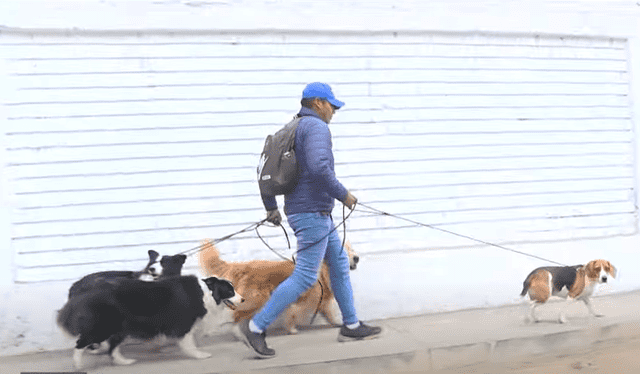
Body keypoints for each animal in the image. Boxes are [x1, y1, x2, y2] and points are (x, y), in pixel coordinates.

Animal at [57, 274, 244, 368]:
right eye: (230, 290)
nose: (243, 299)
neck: (207, 293)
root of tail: (85, 290)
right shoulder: (183, 323)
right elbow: (188, 342)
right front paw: (198, 355)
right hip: (104, 325)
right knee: (81, 343)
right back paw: (78, 364)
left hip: (119, 326)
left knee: (112, 347)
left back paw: (123, 361)